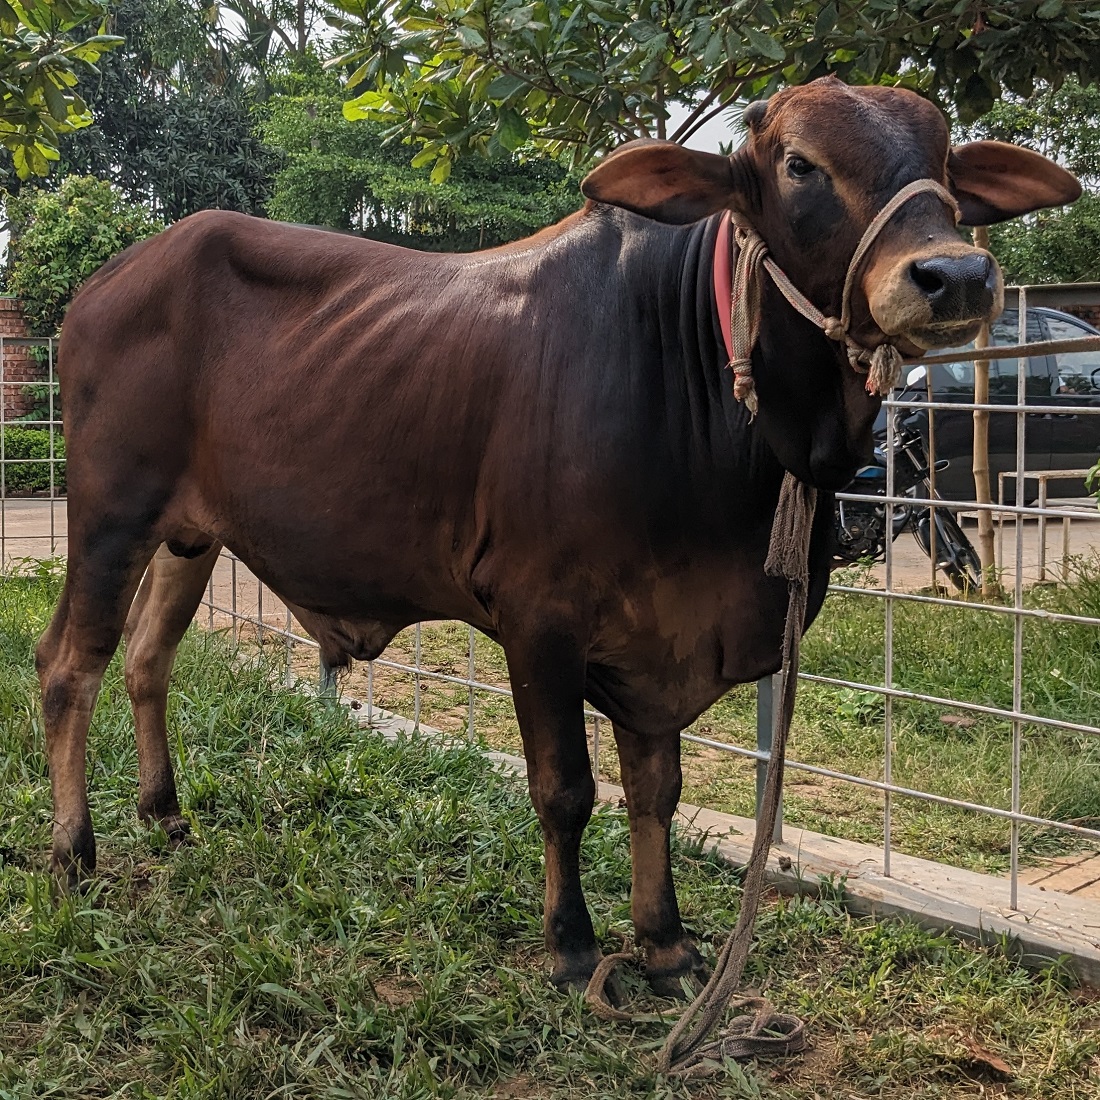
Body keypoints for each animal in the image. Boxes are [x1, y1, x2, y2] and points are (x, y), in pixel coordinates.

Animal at [38, 75, 1078, 990]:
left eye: (944, 159)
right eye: (798, 165)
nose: (954, 274)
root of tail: (103, 283)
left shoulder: (665, 638)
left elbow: (657, 790)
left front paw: (664, 943)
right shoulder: (540, 618)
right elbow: (567, 789)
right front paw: (573, 946)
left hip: (190, 536)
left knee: (148, 657)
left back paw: (165, 814)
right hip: (110, 515)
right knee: (69, 666)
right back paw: (74, 853)